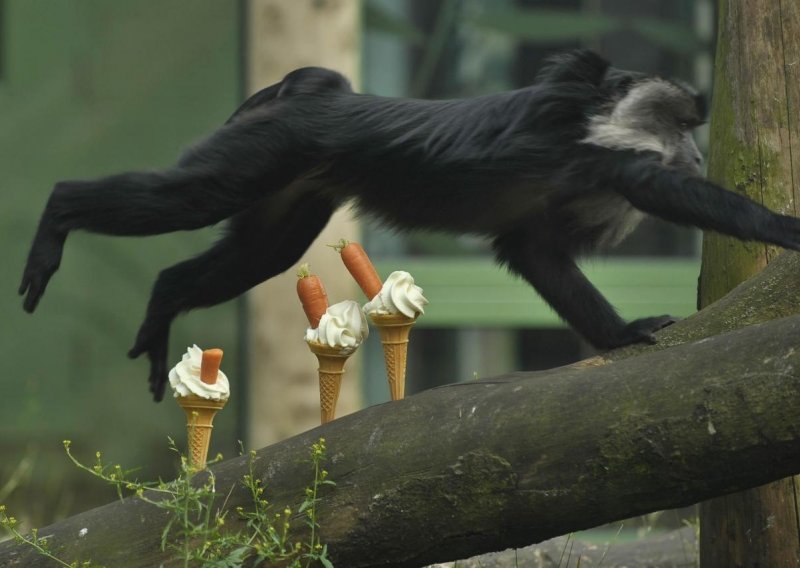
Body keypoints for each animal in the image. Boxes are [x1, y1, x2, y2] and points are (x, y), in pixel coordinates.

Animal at [17, 51, 800, 402]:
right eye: (680, 128)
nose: (694, 148)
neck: (599, 116)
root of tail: (312, 91)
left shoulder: (559, 203)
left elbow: (532, 252)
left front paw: (620, 334)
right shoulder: (598, 155)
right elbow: (669, 195)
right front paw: (788, 229)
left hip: (292, 189)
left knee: (248, 257)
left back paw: (163, 306)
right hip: (263, 151)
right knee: (185, 197)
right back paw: (56, 215)